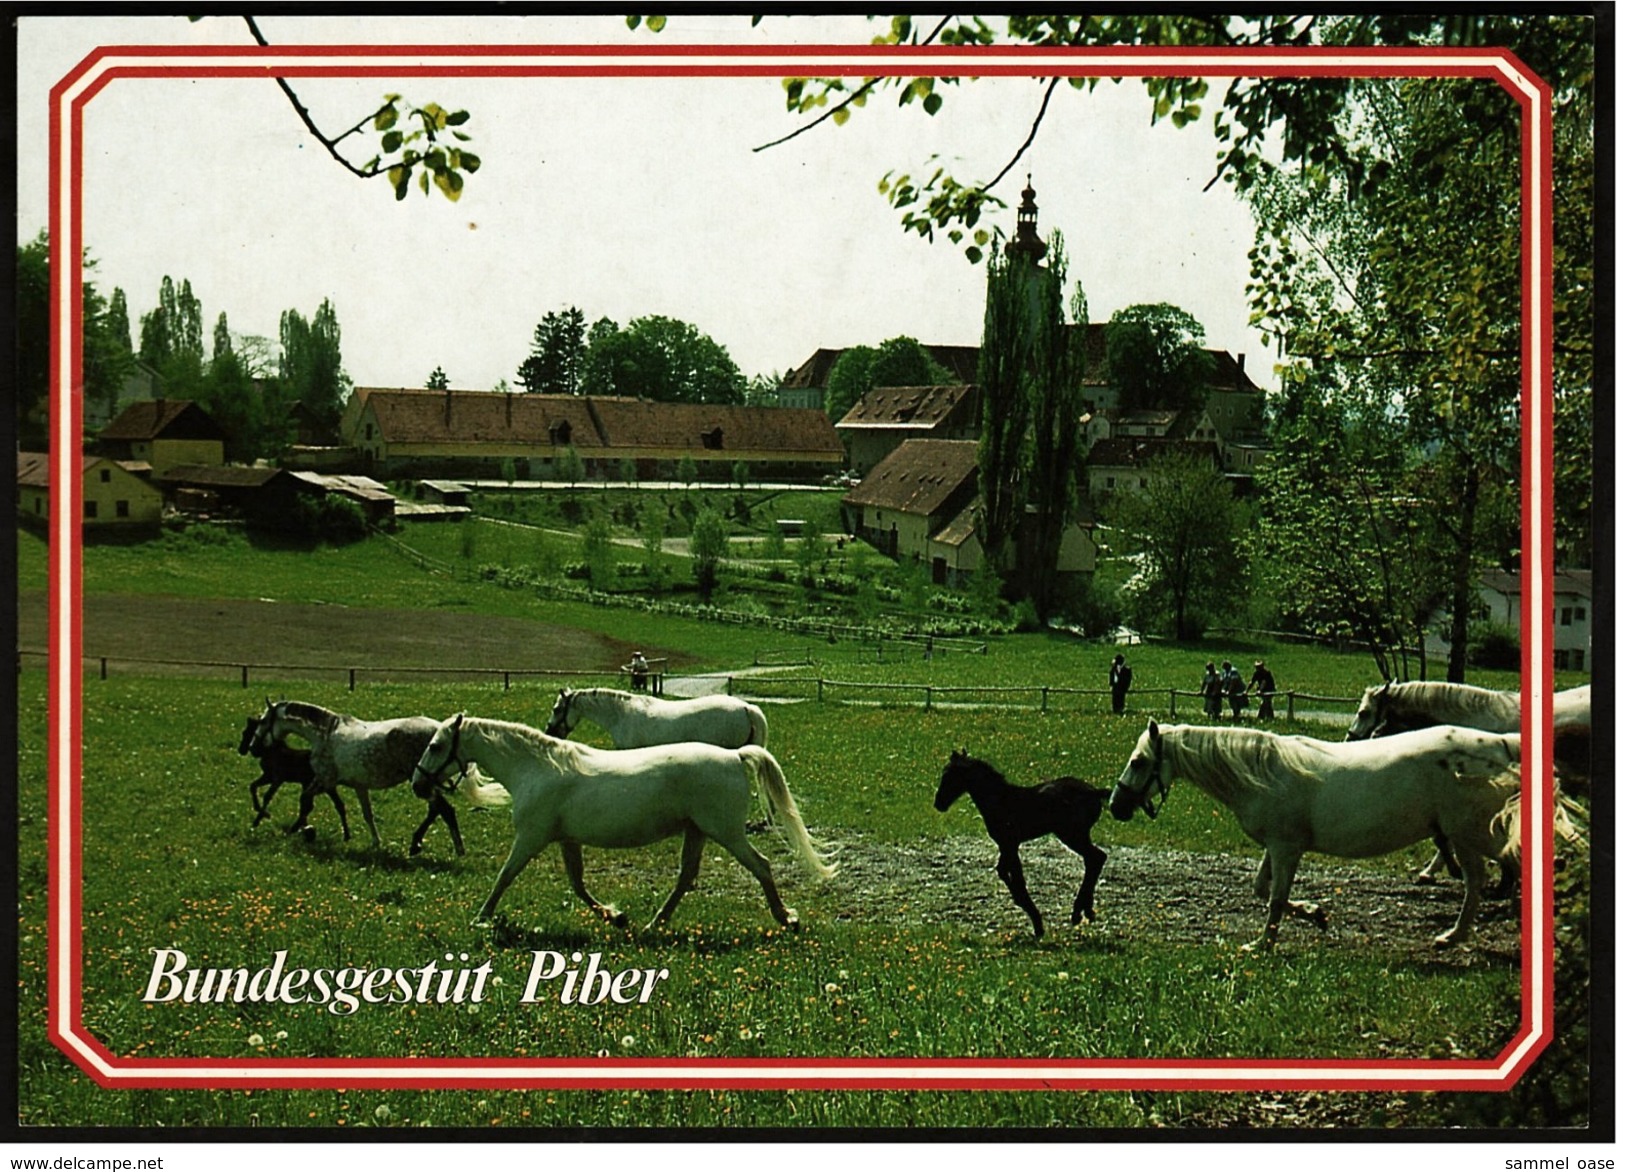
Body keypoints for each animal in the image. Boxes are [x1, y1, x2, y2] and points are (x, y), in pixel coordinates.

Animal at [235, 708, 346, 838]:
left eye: (246, 732)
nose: (241, 750)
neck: (271, 752)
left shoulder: (277, 779)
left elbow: (267, 796)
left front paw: (262, 817)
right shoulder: (268, 776)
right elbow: (253, 786)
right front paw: (259, 815)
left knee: (310, 805)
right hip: (317, 786)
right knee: (327, 805)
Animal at [412, 708, 832, 929]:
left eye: (435, 745)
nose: (418, 784)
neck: (536, 768)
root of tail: (734, 755)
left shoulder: (531, 838)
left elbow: (505, 876)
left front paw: (481, 917)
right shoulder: (566, 840)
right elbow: (578, 884)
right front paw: (614, 915)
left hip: (725, 832)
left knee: (760, 866)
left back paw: (785, 917)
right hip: (697, 832)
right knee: (686, 878)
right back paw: (654, 923)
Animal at [936, 754, 1111, 936]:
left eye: (949, 776)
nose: (938, 803)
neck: (1001, 800)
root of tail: (1093, 792)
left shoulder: (1010, 843)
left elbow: (1015, 878)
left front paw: (1037, 923)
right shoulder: (1007, 845)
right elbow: (1004, 872)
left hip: (1072, 835)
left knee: (1096, 857)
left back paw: (1078, 912)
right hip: (1078, 835)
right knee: (1094, 859)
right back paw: (1087, 911)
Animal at [1111, 711, 1514, 949]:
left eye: (1139, 761)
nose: (1115, 807)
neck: (1264, 773)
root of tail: (1501, 746)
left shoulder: (1286, 849)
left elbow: (1275, 898)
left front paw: (1262, 945)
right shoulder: (1276, 847)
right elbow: (1263, 889)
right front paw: (1315, 914)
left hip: (1470, 834)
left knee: (1485, 877)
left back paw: (1455, 935)